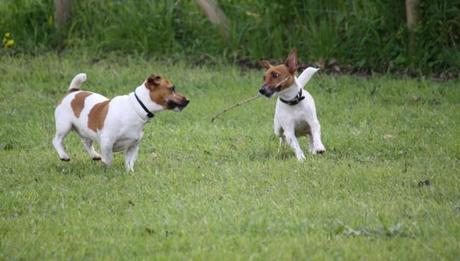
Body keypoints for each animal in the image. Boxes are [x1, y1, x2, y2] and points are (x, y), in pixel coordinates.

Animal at [53, 73, 190, 171]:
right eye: (172, 88)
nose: (188, 100)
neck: (135, 108)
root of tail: (73, 92)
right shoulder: (107, 142)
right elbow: (109, 158)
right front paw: (107, 168)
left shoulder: (133, 146)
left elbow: (129, 162)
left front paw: (130, 173)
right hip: (64, 126)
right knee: (56, 141)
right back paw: (64, 155)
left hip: (86, 130)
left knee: (86, 143)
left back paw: (95, 155)